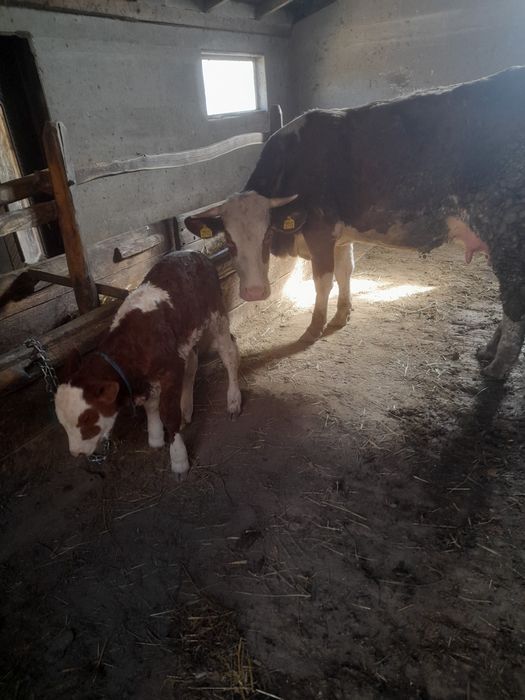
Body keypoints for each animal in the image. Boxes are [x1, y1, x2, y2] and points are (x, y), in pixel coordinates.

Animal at [54, 251, 242, 477]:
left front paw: (178, 460)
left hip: (217, 315)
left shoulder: (170, 370)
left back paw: (233, 401)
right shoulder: (153, 376)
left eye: (87, 419)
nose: (77, 453)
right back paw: (186, 409)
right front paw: (155, 437)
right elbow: (151, 407)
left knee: (229, 353)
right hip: (187, 336)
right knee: (192, 365)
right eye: (62, 422)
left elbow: (168, 414)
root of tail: (194, 253)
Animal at [185, 66, 525, 380]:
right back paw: (488, 351)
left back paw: (497, 366)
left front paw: (313, 328)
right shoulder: (341, 236)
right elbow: (346, 272)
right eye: (229, 241)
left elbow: (324, 280)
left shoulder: (320, 230)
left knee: (514, 304)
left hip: (508, 233)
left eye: (268, 235)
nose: (254, 293)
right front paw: (342, 315)